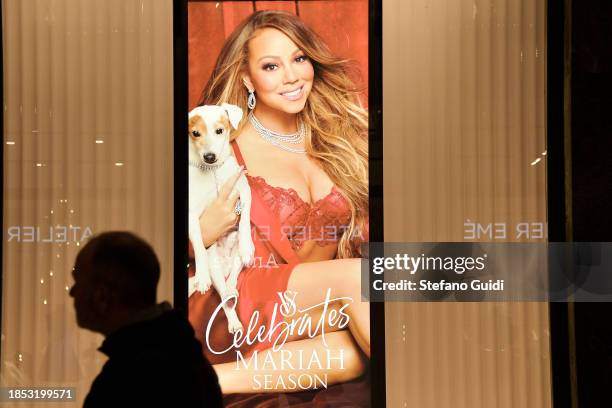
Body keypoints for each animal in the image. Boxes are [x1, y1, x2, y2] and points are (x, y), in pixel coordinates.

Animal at [186, 103, 253, 334]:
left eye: (219, 131)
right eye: (195, 133)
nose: (209, 156)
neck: (212, 171)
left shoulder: (244, 190)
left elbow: (245, 218)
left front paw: (247, 245)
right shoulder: (192, 215)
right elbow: (198, 242)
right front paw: (202, 277)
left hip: (237, 259)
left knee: (233, 278)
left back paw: (233, 286)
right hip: (215, 268)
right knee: (223, 300)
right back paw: (233, 320)